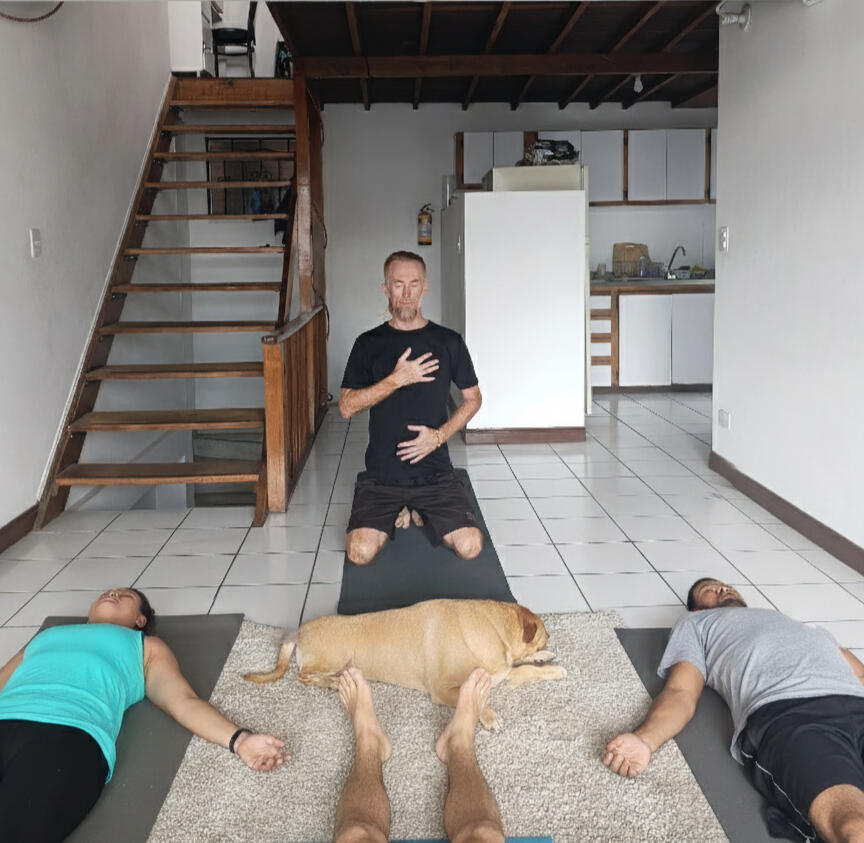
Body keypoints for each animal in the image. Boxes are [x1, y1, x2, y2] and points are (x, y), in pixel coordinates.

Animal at [244, 598, 566, 730]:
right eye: (544, 630)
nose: (550, 637)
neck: (495, 626)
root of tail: (298, 632)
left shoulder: (503, 671)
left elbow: (525, 669)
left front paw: (548, 662)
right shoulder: (443, 690)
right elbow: (479, 697)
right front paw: (488, 716)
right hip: (333, 657)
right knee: (303, 675)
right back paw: (332, 682)